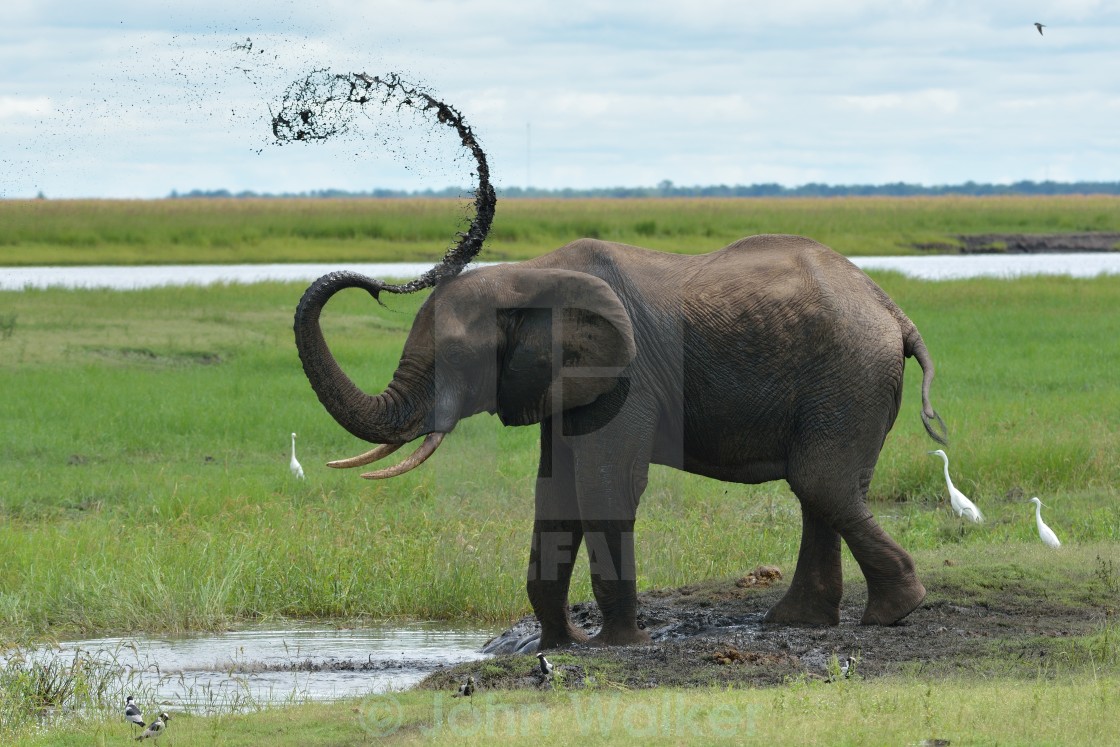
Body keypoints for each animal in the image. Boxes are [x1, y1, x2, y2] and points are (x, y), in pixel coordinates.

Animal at [295, 234, 945, 649]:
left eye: (454, 357)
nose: (375, 284)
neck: (529, 272)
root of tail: (893, 309)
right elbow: (555, 494)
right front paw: (562, 643)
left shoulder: (625, 376)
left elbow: (606, 487)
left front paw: (619, 643)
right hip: (850, 382)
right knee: (823, 490)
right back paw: (799, 624)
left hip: (849, 375)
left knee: (820, 482)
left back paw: (895, 612)